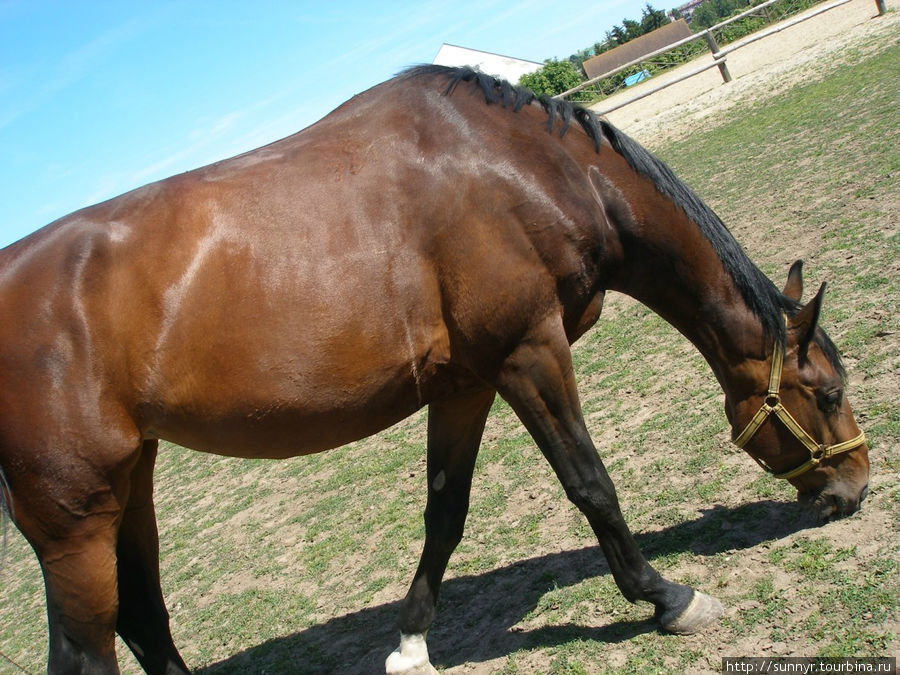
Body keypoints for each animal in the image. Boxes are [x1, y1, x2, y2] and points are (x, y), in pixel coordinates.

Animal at [0, 64, 868, 675]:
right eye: (826, 392)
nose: (854, 489)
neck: (522, 165)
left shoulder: (468, 382)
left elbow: (445, 513)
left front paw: (412, 644)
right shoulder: (529, 353)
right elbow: (591, 485)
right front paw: (667, 596)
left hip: (129, 485)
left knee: (144, 618)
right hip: (73, 519)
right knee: (88, 648)